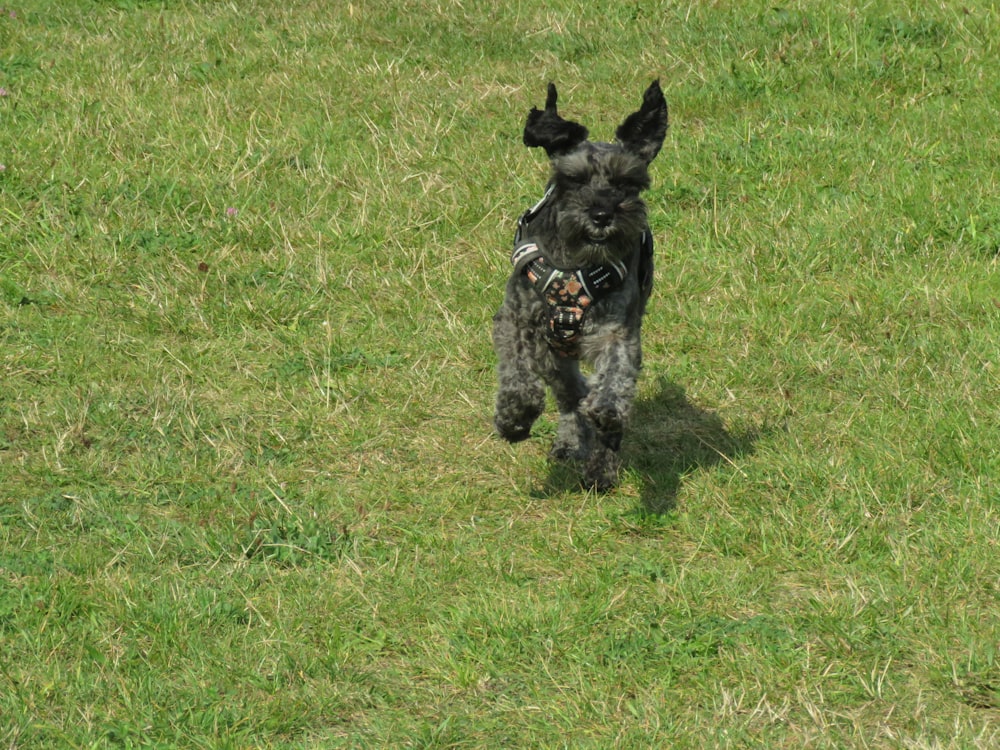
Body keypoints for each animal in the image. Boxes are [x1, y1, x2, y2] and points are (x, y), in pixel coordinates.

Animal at [490, 82, 668, 494]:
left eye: (626, 182)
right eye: (575, 179)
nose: (602, 214)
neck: (575, 264)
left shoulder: (617, 331)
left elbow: (615, 377)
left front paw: (607, 412)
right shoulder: (516, 320)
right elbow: (517, 373)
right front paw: (515, 417)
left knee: (586, 396)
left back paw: (601, 465)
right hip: (552, 354)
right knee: (570, 393)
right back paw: (571, 441)